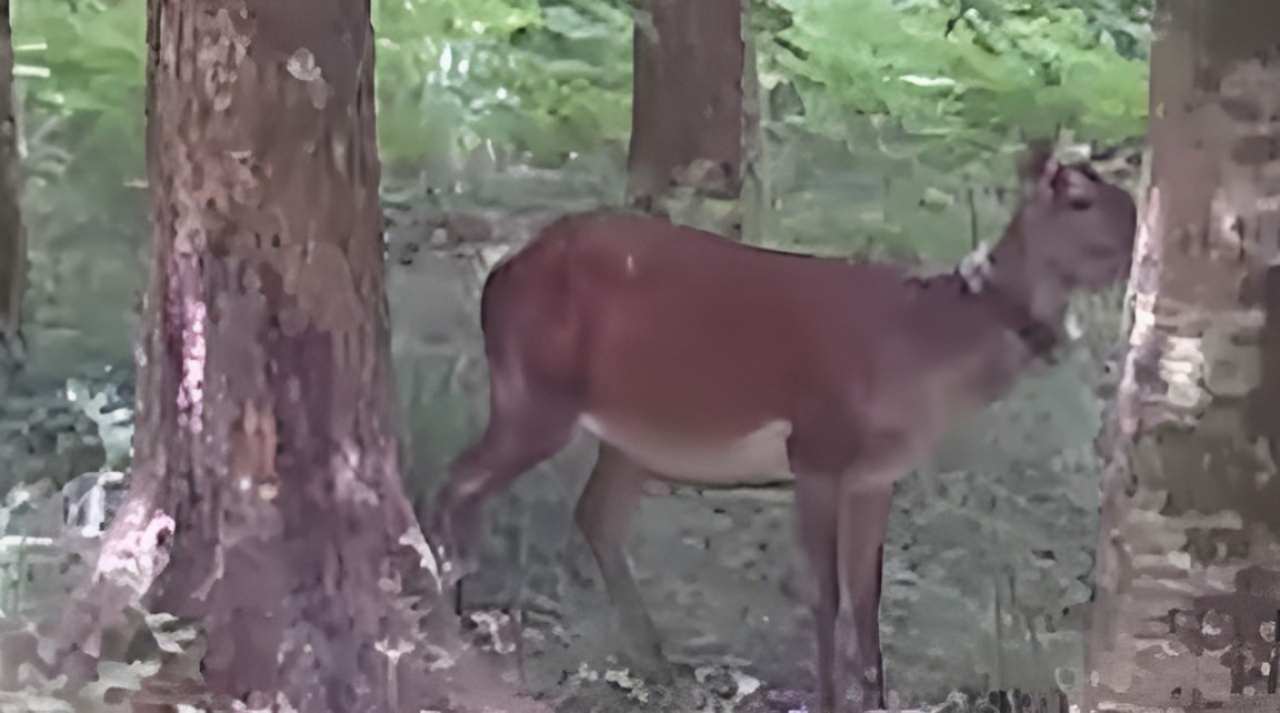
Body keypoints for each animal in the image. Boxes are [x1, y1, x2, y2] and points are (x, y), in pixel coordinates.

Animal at [424, 145, 1136, 711]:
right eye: (1079, 200)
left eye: (1126, 198)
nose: (1137, 249)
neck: (921, 354)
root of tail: (500, 273)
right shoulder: (816, 447)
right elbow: (826, 595)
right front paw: (828, 700)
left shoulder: (877, 476)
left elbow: (868, 596)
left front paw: (878, 698)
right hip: (533, 390)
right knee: (457, 481)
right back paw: (451, 622)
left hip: (629, 432)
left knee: (593, 514)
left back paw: (656, 663)